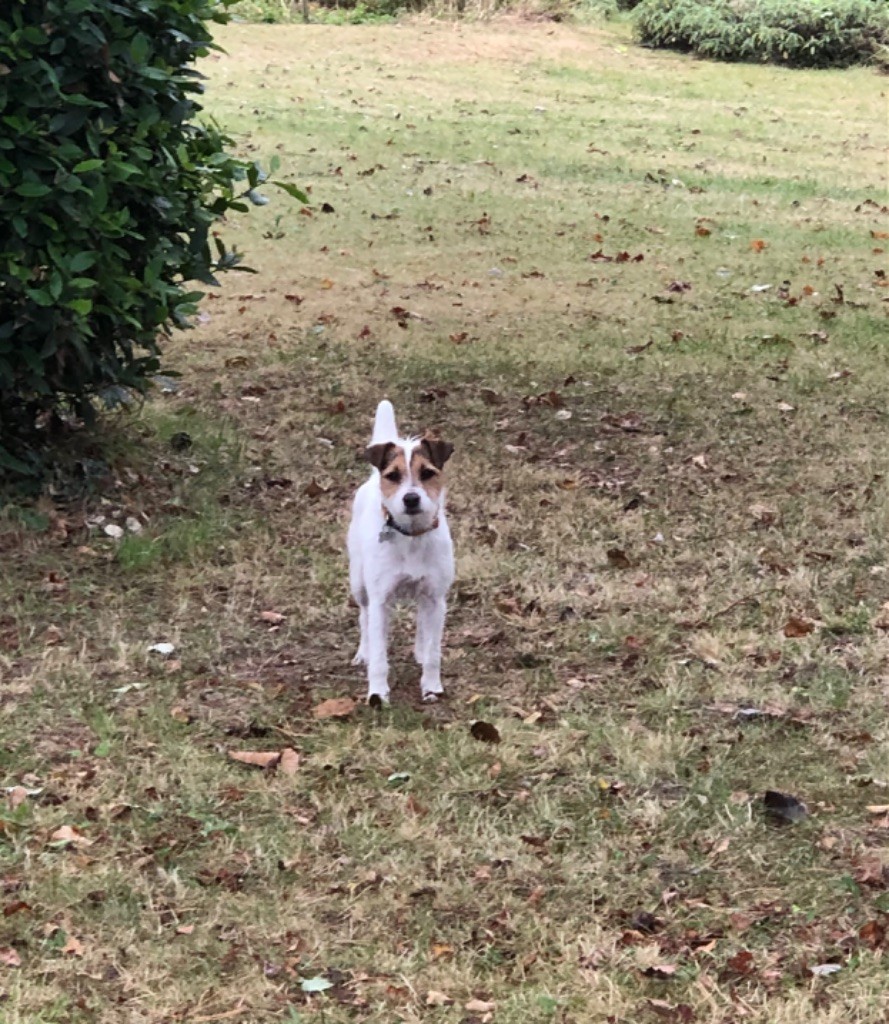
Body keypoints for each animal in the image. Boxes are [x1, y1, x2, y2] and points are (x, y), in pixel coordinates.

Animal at [348, 399, 454, 704]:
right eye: (393, 476)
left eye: (427, 473)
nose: (411, 498)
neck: (412, 537)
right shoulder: (380, 600)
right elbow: (380, 657)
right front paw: (377, 692)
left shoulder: (436, 597)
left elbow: (433, 653)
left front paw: (431, 686)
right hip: (359, 584)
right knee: (363, 617)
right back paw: (363, 652)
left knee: (421, 622)